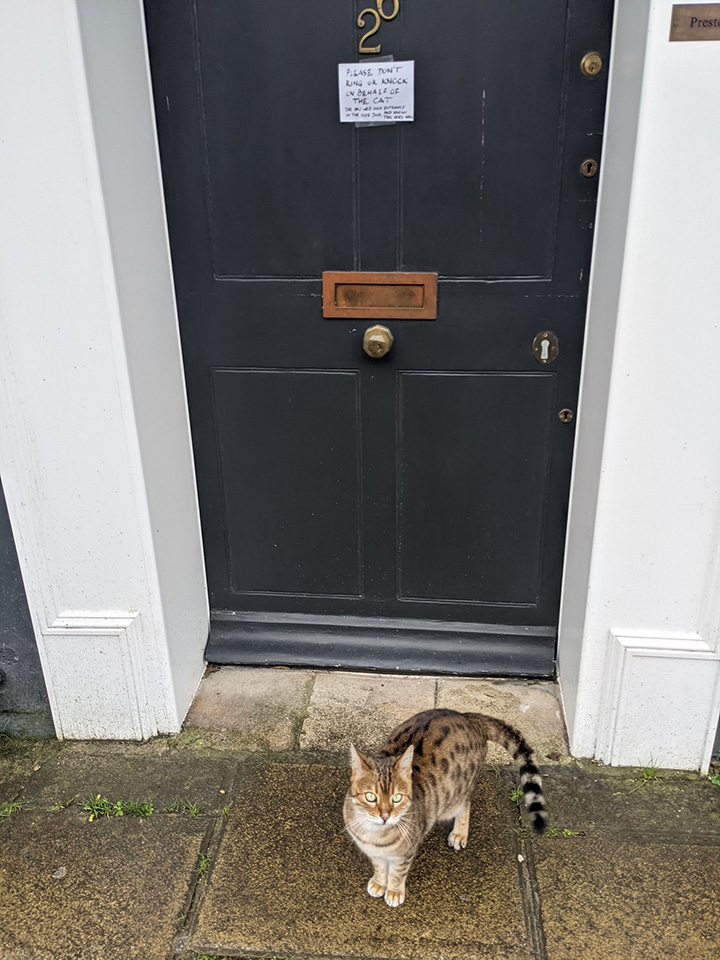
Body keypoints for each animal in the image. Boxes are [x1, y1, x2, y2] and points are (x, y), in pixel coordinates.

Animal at [344, 704, 544, 908]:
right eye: (370, 797)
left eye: (397, 798)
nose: (384, 816)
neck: (375, 835)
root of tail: (468, 717)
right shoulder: (373, 853)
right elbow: (379, 867)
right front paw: (379, 882)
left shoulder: (405, 855)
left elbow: (397, 873)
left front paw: (393, 891)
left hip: (456, 795)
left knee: (466, 804)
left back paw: (459, 833)